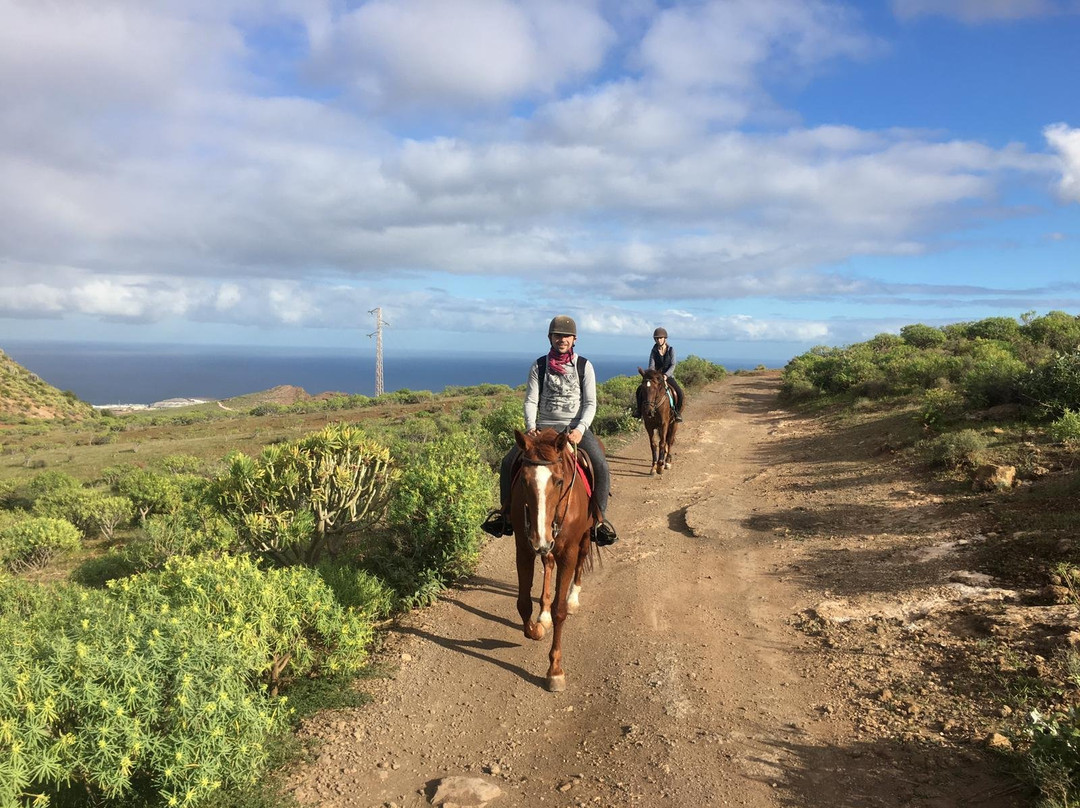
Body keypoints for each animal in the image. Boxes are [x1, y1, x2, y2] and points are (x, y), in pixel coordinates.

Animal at [509, 425, 596, 691]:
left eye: (558, 481)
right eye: (524, 481)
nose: (540, 537)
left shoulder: (567, 552)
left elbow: (560, 610)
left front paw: (555, 670)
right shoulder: (523, 548)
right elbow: (523, 603)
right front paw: (536, 629)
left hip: (585, 536)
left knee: (581, 559)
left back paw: (574, 597)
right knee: (547, 564)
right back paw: (543, 614)